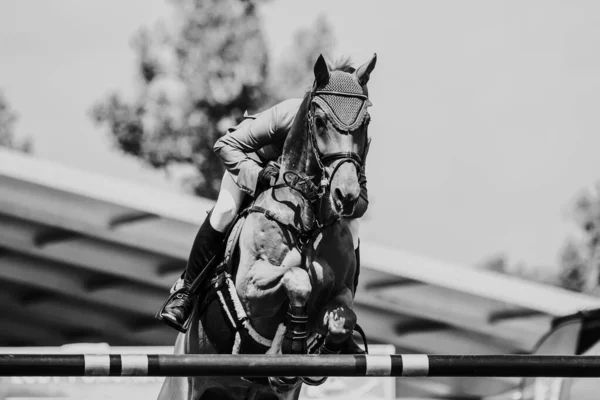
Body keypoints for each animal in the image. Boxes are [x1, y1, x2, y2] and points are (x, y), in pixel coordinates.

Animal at [157, 54, 378, 400]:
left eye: (365, 122)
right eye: (320, 121)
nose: (347, 195)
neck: (307, 221)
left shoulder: (341, 291)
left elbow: (344, 316)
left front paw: (319, 353)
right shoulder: (250, 288)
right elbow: (297, 279)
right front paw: (291, 345)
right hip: (184, 383)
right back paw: (178, 307)